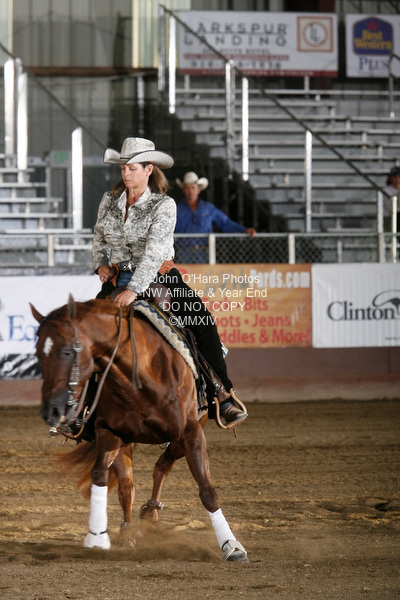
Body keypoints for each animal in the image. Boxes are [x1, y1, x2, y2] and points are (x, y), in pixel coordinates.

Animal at [30, 295, 248, 563]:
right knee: (130, 486)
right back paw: (129, 532)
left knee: (162, 466)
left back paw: (152, 512)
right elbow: (102, 476)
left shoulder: (191, 432)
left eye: (67, 351)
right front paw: (98, 535)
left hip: (186, 435)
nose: (50, 411)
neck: (140, 373)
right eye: (38, 354)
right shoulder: (110, 432)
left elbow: (206, 490)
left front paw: (231, 545)